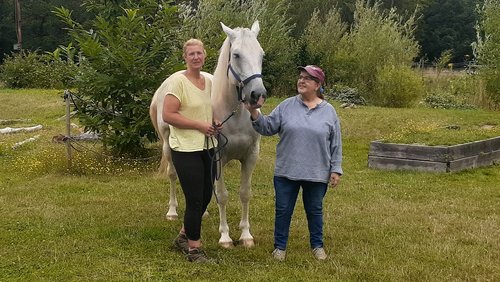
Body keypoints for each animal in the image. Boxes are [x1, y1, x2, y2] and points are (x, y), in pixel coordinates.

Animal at [148, 20, 266, 248]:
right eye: (236, 55)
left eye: (261, 54)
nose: (257, 95)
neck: (234, 115)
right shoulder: (218, 156)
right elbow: (222, 195)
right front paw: (225, 237)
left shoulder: (251, 156)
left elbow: (245, 193)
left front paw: (246, 235)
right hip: (168, 147)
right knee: (173, 175)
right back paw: (172, 212)